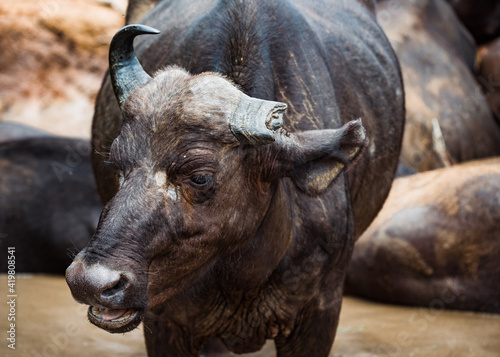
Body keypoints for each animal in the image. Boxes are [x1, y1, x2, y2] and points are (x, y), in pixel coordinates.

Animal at [64, 1, 404, 354]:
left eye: (200, 177)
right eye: (117, 165)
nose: (88, 281)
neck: (244, 274)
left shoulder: (320, 313)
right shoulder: (166, 322)